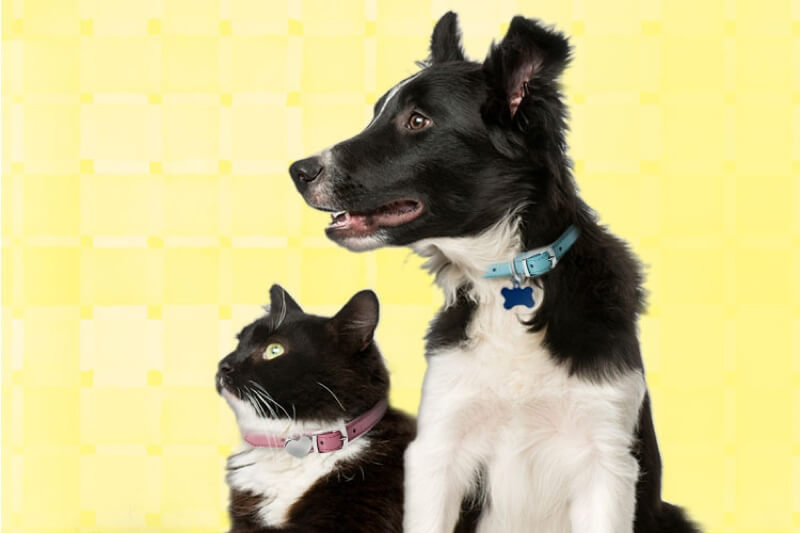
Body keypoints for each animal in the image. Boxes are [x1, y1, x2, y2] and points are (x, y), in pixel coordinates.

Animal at [290, 12, 700, 532]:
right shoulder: (439, 446)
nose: (298, 170)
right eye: (378, 113)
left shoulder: (606, 456)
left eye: (418, 120)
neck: (508, 276)